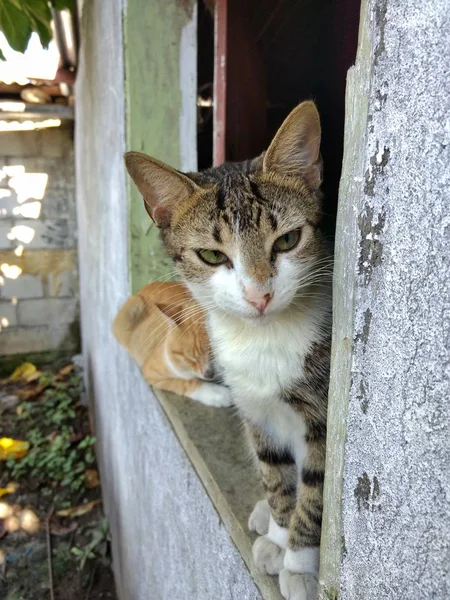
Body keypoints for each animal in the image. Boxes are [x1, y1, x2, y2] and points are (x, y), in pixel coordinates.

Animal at [125, 101, 332, 596]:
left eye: (288, 240)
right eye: (213, 256)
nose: (259, 296)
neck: (262, 339)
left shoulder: (322, 419)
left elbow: (314, 491)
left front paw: (299, 564)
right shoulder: (254, 410)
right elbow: (275, 475)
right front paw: (278, 533)